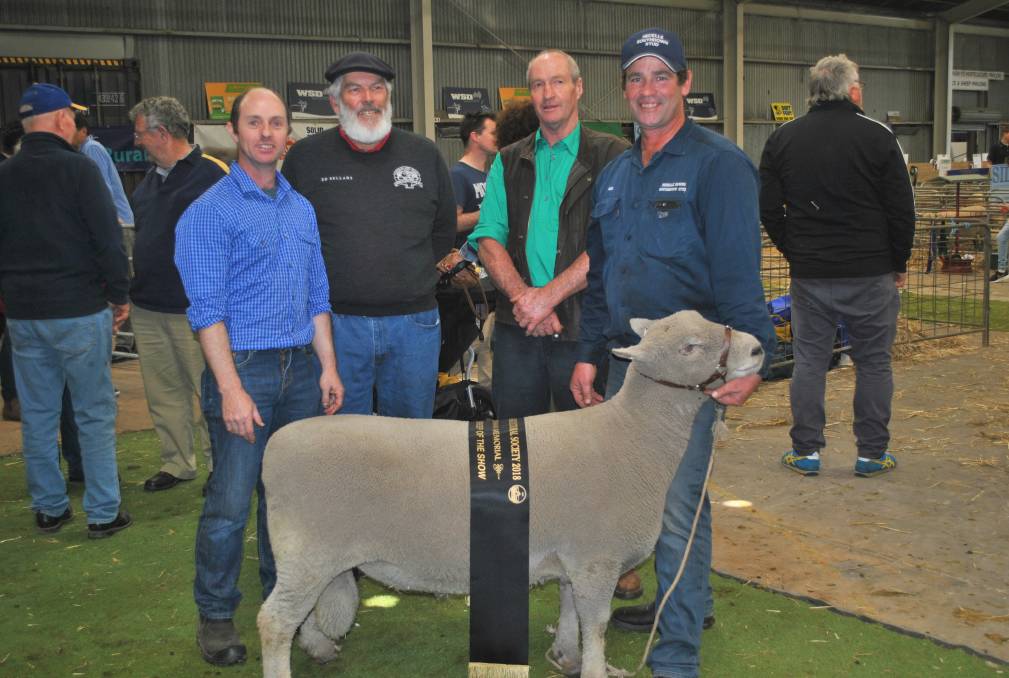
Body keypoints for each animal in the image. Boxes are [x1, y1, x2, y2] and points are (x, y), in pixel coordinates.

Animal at [258, 310, 762, 678]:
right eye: (690, 347)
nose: (757, 348)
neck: (632, 436)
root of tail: (274, 447)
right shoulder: (597, 559)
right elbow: (595, 624)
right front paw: (595, 669)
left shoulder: (573, 557)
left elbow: (569, 609)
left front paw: (565, 656)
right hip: (308, 552)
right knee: (274, 621)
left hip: (312, 559)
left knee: (297, 615)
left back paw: (319, 647)